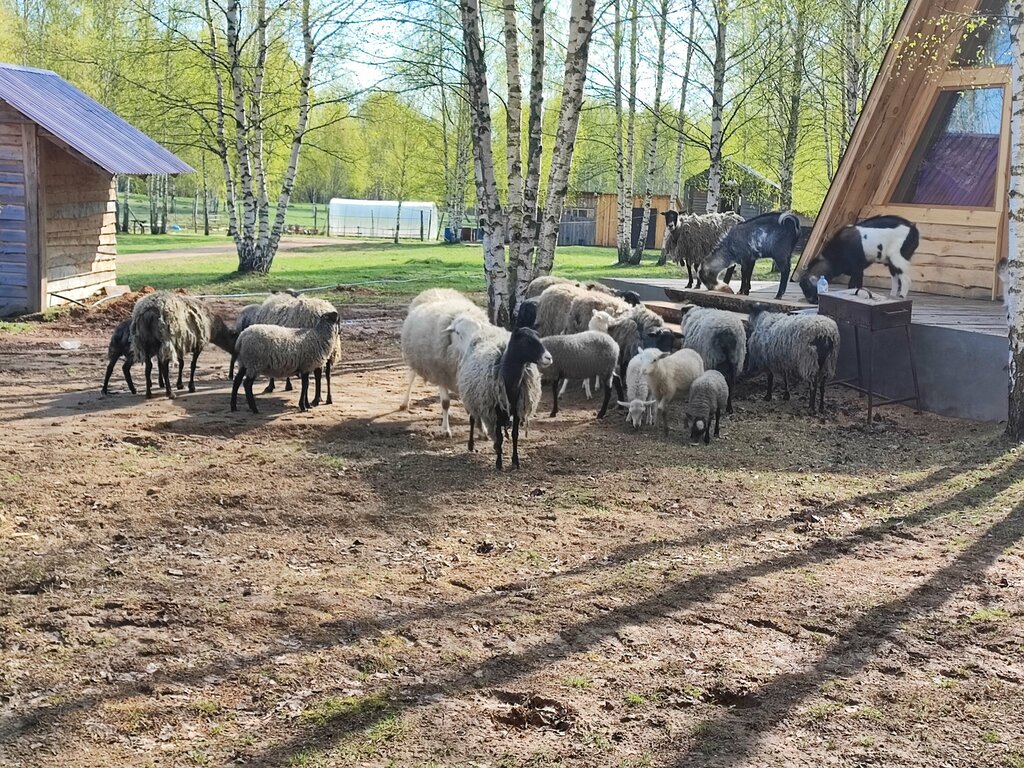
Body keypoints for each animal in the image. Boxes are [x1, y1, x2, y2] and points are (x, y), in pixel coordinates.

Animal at [400, 288, 489, 436]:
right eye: (458, 332)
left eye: (478, 330)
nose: (473, 347)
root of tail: (436, 289)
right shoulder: (440, 372)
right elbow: (445, 403)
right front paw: (446, 430)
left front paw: (483, 430)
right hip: (414, 357)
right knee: (411, 377)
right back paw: (404, 402)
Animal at [452, 320, 551, 470]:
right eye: (527, 340)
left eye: (539, 337)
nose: (549, 358)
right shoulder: (496, 410)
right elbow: (499, 436)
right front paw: (499, 463)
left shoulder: (517, 409)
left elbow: (515, 435)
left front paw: (515, 461)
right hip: (471, 397)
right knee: (473, 419)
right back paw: (471, 445)